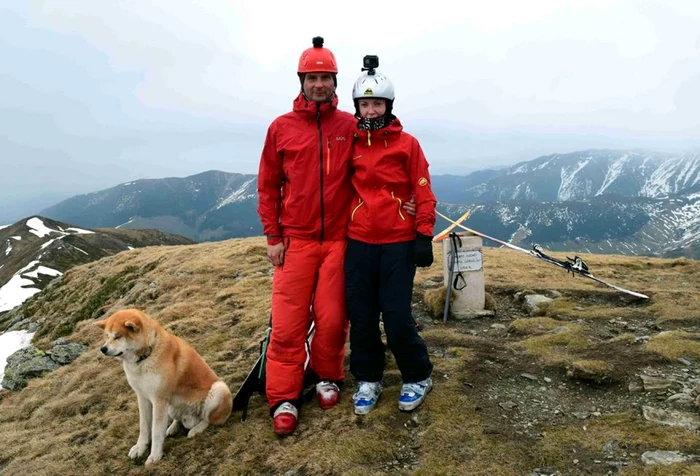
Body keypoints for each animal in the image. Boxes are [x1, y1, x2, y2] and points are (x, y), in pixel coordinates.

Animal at [95, 306, 231, 466]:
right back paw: (173, 427)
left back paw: (196, 429)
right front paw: (140, 448)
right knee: (179, 418)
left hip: (219, 389)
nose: (103, 349)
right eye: (107, 337)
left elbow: (156, 431)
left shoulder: (158, 400)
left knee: (208, 419)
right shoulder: (142, 397)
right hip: (172, 406)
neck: (145, 357)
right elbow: (144, 427)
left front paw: (154, 456)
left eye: (117, 336)